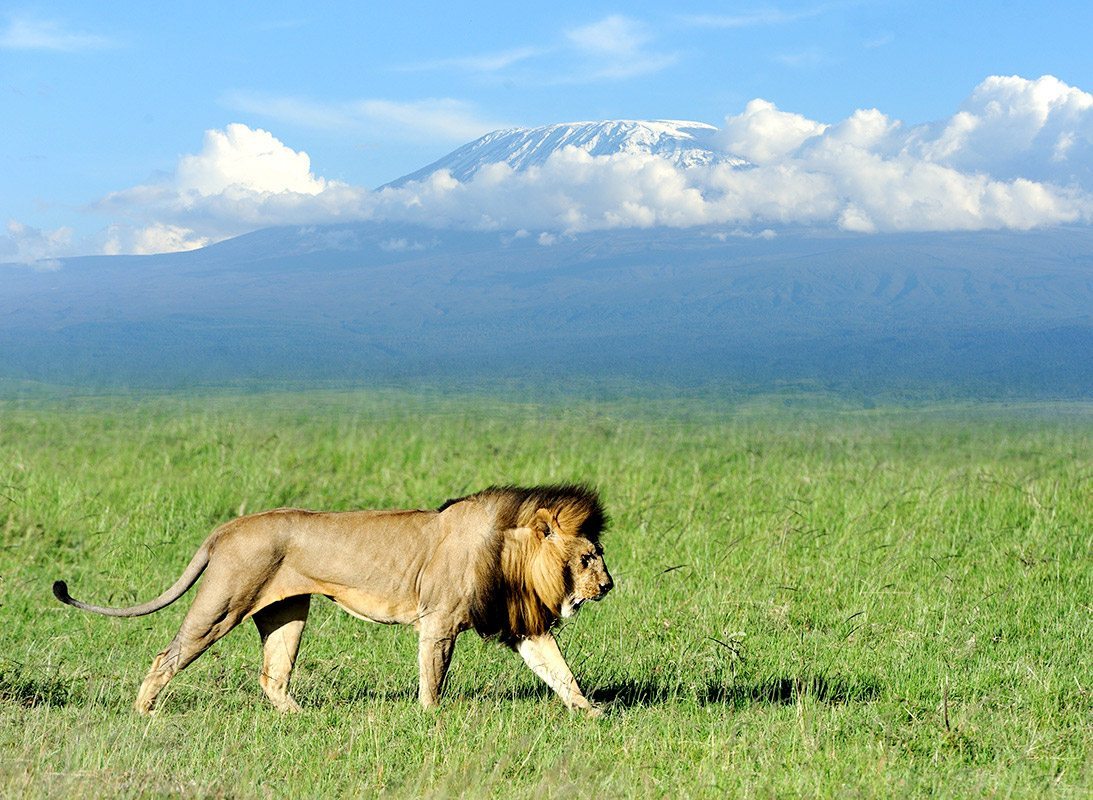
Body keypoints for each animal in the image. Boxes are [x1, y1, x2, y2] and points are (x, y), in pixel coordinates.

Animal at [52, 484, 612, 717]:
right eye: (588, 558)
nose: (609, 586)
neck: (509, 554)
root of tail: (227, 527)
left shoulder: (521, 625)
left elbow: (559, 671)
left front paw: (592, 714)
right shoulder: (439, 621)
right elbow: (433, 676)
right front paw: (432, 719)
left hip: (285, 612)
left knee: (272, 675)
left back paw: (302, 719)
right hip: (223, 603)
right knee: (167, 654)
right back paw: (144, 713)